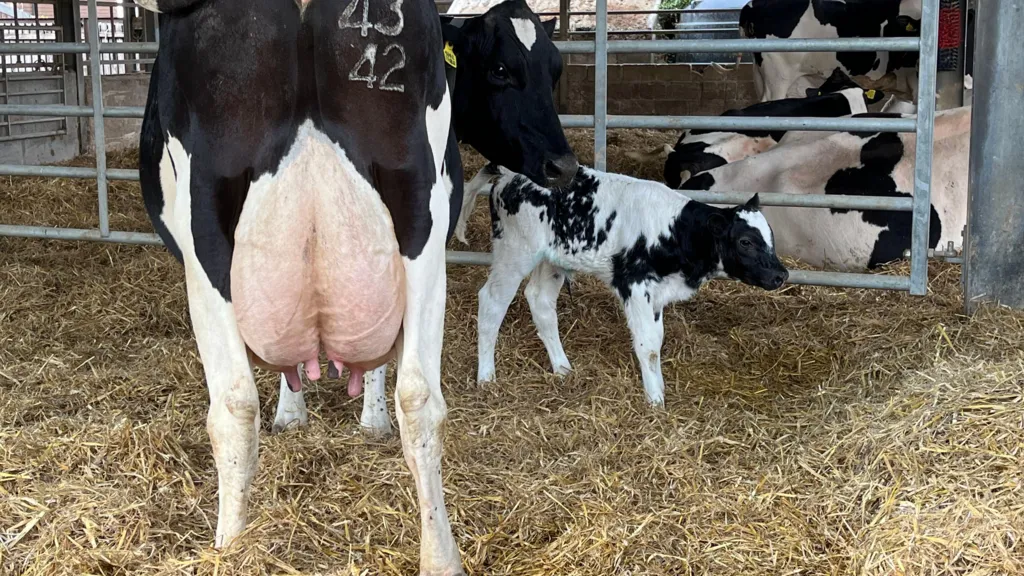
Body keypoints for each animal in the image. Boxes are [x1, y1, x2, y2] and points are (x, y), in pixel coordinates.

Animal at [456, 164, 788, 406]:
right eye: (745, 242)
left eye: (771, 235)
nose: (781, 275)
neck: (675, 231)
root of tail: (508, 172)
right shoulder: (635, 285)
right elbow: (648, 345)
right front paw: (655, 400)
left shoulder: (656, 294)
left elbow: (657, 339)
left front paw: (659, 389)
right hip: (515, 251)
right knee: (491, 302)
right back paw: (486, 377)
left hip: (552, 259)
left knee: (539, 301)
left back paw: (562, 368)